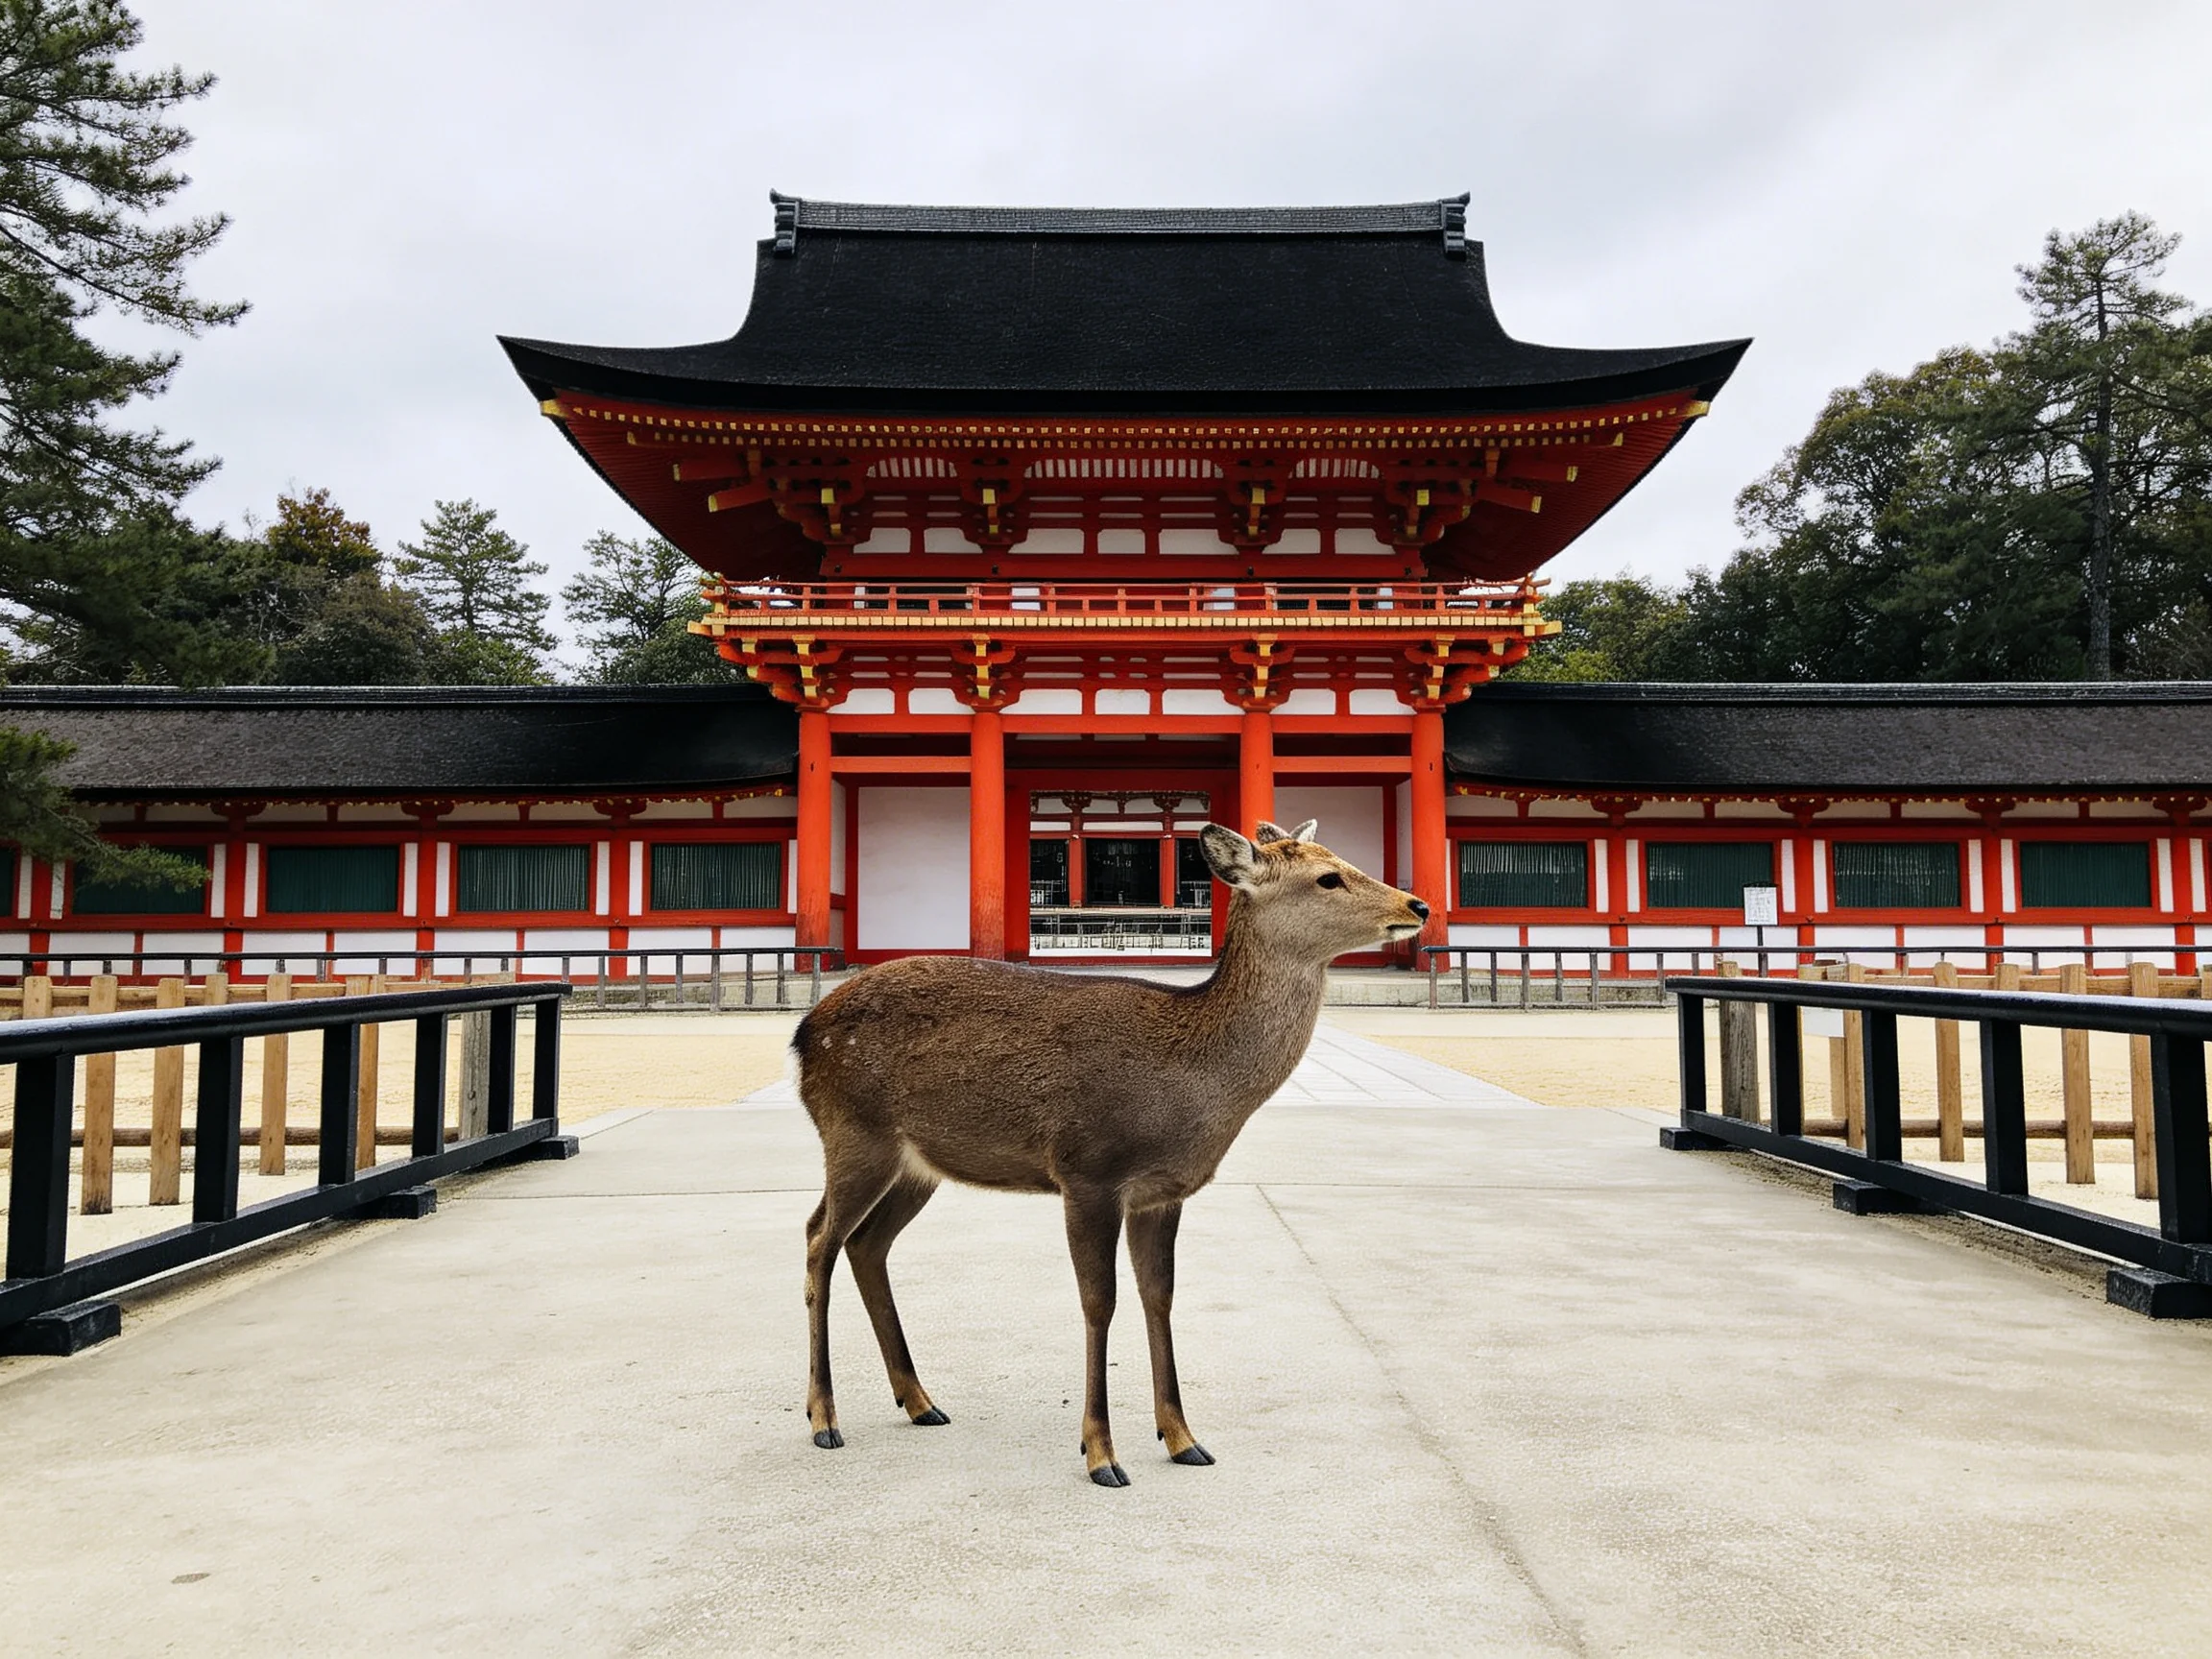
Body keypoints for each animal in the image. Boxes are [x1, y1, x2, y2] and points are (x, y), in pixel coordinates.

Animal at [789, 818, 1430, 1486]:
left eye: (1345, 860)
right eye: (1327, 877)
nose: (1418, 906)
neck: (1192, 1087)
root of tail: (803, 1034)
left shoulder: (1162, 1192)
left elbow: (1159, 1296)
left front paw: (1182, 1438)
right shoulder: (1088, 1170)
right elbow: (1100, 1302)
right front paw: (1101, 1453)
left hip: (917, 1165)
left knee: (867, 1245)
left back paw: (920, 1401)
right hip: (853, 1133)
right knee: (818, 1240)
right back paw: (824, 1418)